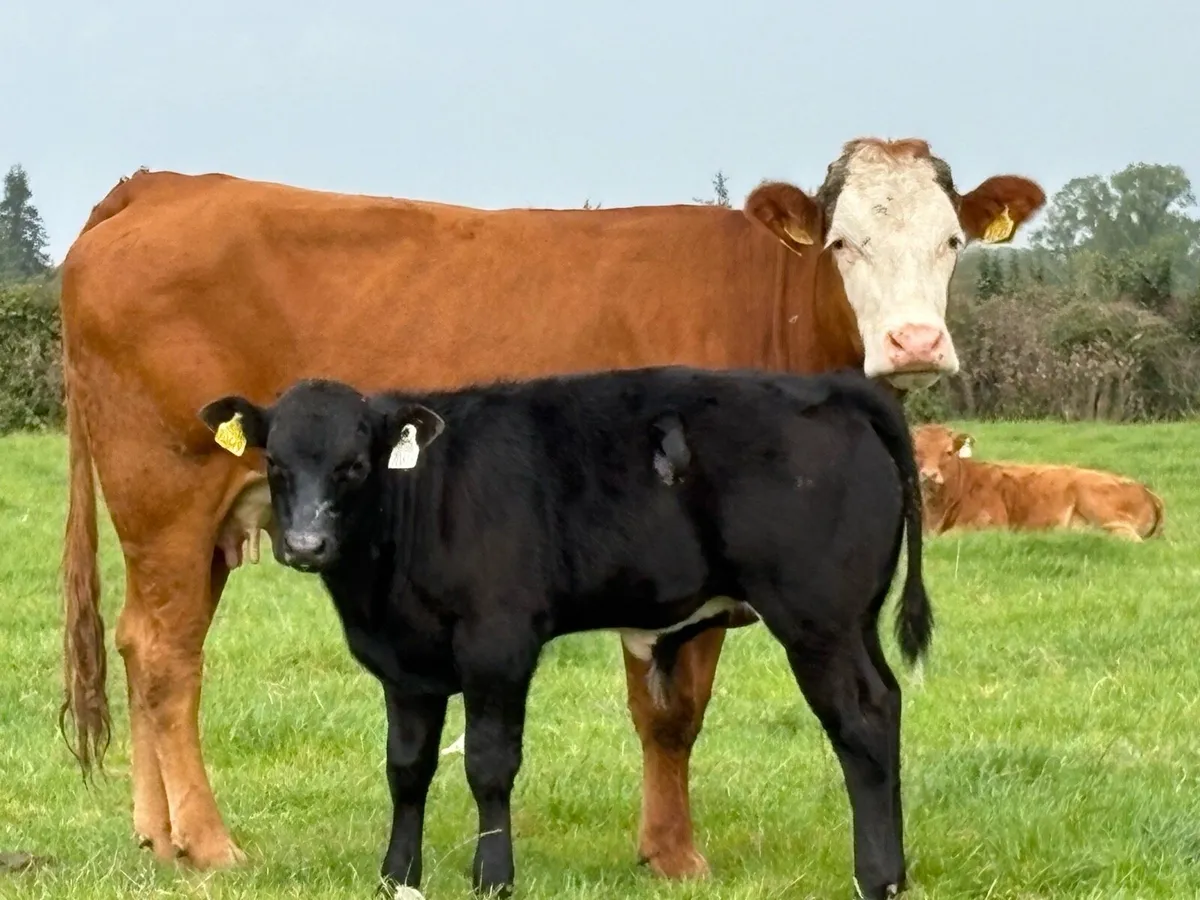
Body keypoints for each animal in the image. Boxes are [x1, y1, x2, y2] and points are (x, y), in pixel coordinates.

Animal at [196, 365, 933, 900]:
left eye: (354, 464)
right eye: (276, 464)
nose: (305, 545)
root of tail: (830, 387)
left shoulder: (498, 643)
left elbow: (489, 762)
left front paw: (493, 878)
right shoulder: (406, 666)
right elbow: (406, 768)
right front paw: (396, 877)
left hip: (817, 621)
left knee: (861, 722)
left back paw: (877, 877)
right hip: (855, 622)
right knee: (888, 704)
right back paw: (894, 870)